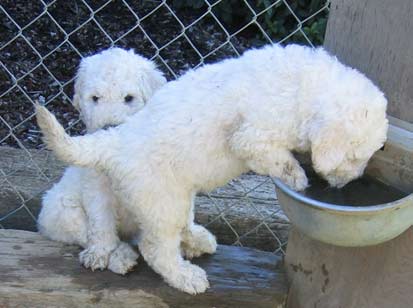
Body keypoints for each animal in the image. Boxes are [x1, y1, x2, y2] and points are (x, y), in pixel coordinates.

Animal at [37, 44, 388, 294]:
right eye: (354, 157)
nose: (350, 181)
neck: (305, 91)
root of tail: (114, 139)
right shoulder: (251, 137)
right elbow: (275, 156)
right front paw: (297, 177)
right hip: (161, 200)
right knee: (153, 247)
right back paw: (183, 276)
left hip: (175, 197)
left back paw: (195, 242)